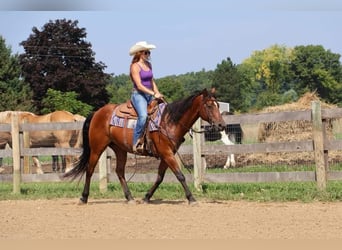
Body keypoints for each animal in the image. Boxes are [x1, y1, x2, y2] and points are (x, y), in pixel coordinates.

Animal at [64, 89, 226, 204]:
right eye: (209, 105)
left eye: (218, 105)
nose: (221, 125)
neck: (169, 121)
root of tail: (97, 112)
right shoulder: (166, 153)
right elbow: (180, 175)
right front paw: (191, 198)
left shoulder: (167, 154)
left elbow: (160, 177)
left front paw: (147, 197)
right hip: (97, 148)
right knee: (90, 170)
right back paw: (84, 198)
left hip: (120, 149)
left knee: (120, 172)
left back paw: (130, 198)